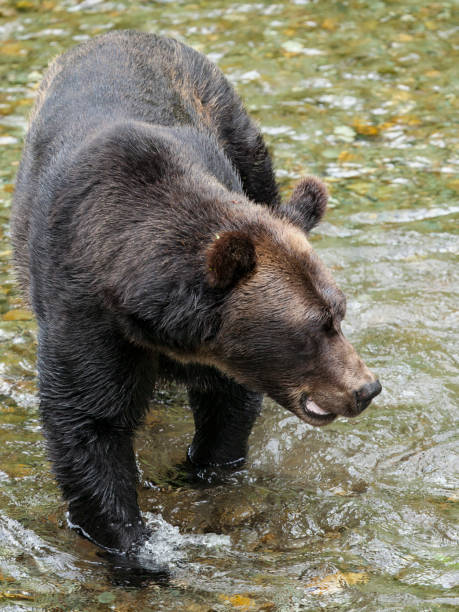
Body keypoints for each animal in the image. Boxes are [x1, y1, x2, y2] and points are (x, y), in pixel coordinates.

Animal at [11, 28, 380, 556]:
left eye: (340, 312)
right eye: (316, 326)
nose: (366, 388)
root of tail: (126, 33)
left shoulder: (225, 355)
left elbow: (227, 412)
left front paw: (200, 474)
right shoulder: (84, 314)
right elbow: (89, 424)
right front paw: (130, 546)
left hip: (244, 147)